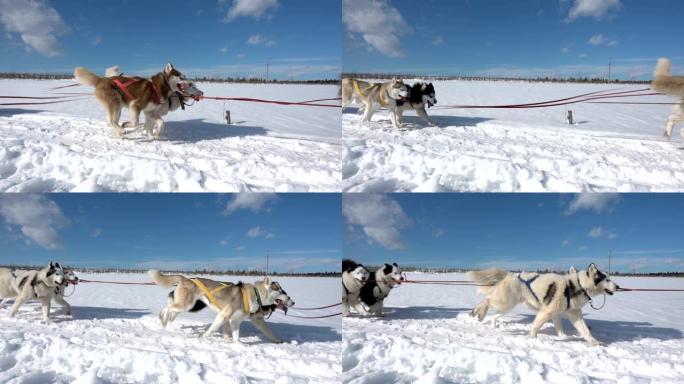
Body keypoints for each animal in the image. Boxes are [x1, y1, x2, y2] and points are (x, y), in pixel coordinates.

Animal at [150, 268, 294, 344]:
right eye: (281, 291)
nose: (292, 301)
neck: (255, 294)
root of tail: (186, 278)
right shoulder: (223, 316)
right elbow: (211, 330)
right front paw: (203, 337)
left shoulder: (235, 321)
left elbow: (236, 336)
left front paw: (238, 345)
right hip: (186, 305)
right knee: (165, 308)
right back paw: (162, 318)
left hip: (185, 305)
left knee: (169, 309)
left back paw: (164, 321)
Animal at [470, 262, 620, 346]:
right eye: (607, 279)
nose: (618, 286)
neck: (577, 285)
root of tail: (510, 275)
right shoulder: (547, 312)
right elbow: (536, 326)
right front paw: (532, 338)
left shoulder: (567, 315)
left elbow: (583, 330)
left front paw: (592, 342)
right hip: (505, 302)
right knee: (487, 300)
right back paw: (478, 312)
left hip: (507, 306)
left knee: (494, 314)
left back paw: (491, 322)